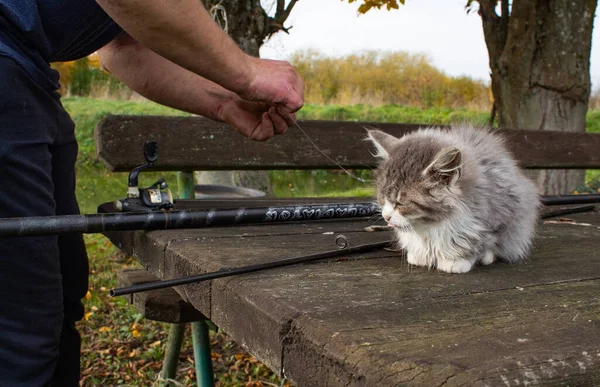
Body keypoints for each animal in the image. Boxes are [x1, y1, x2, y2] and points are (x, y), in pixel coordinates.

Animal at [366, 123, 540, 272]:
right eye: (382, 198)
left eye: (401, 203)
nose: (386, 217)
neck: (430, 224)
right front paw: (420, 255)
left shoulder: (497, 213)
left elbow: (480, 241)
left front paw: (457, 260)